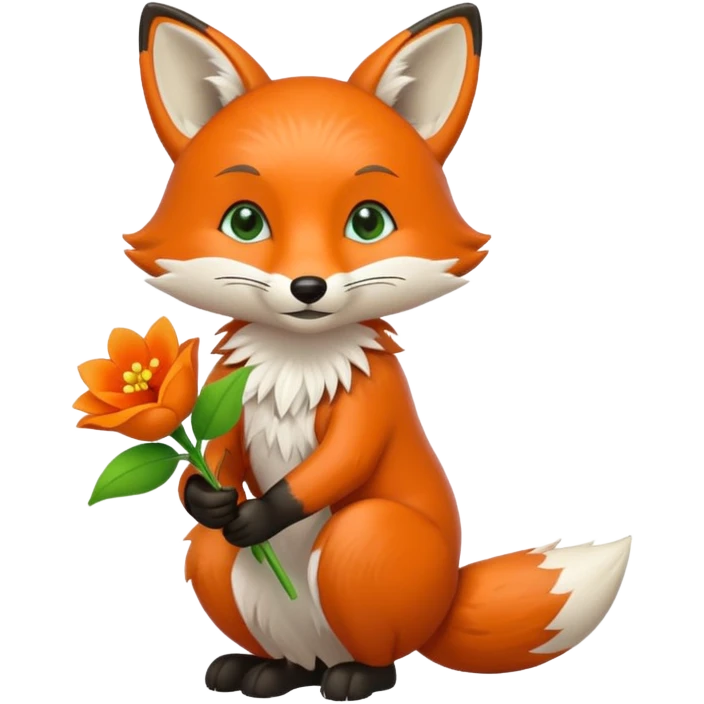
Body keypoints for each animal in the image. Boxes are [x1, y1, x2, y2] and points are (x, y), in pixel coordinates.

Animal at [125, 2, 632, 700]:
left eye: (368, 222)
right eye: (245, 222)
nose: (307, 287)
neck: (298, 364)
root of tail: (442, 606)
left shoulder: (372, 399)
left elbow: (341, 461)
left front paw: (264, 514)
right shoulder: (227, 401)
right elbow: (216, 460)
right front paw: (209, 498)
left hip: (361, 542)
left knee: (378, 650)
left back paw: (354, 675)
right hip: (211, 563)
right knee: (239, 586)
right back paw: (264, 670)